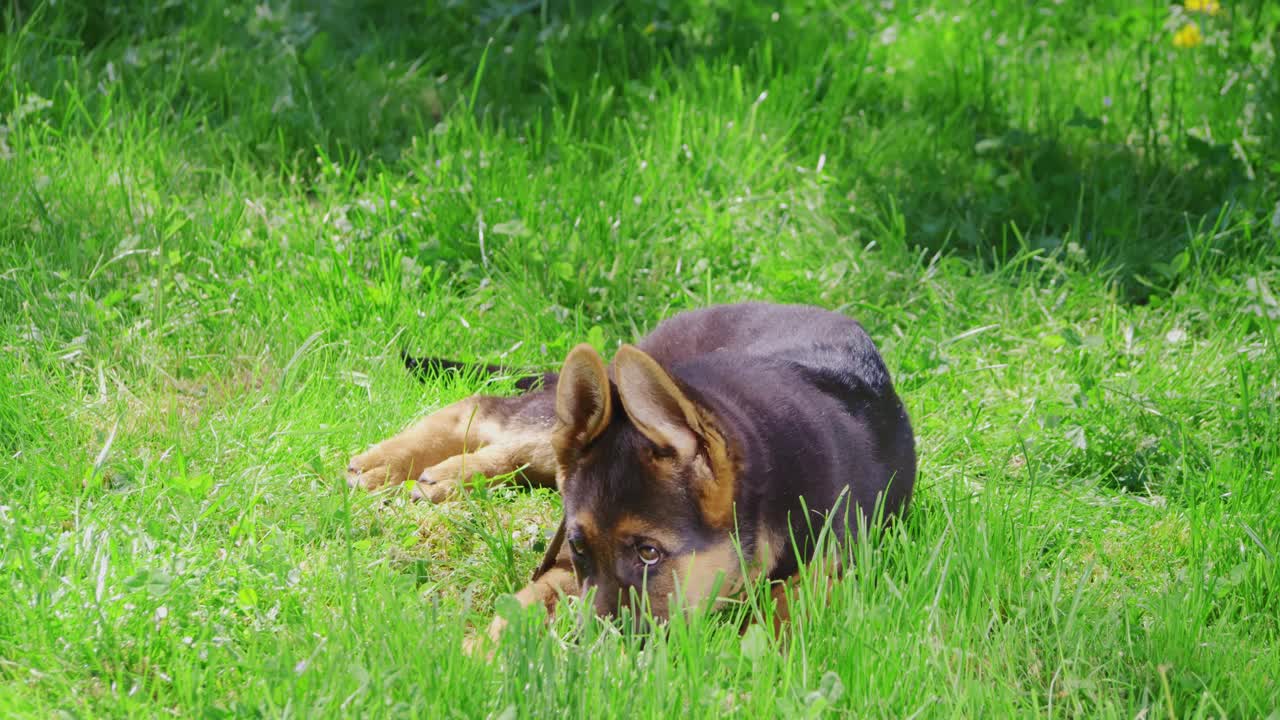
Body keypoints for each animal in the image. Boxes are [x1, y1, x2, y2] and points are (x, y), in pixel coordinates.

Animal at [345, 299, 916, 635]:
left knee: (519, 447)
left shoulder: (837, 566)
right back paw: (385, 466)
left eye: (649, 552)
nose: (592, 646)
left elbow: (786, 612)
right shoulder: (565, 563)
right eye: (579, 546)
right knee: (487, 408)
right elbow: (530, 600)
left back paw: (441, 476)